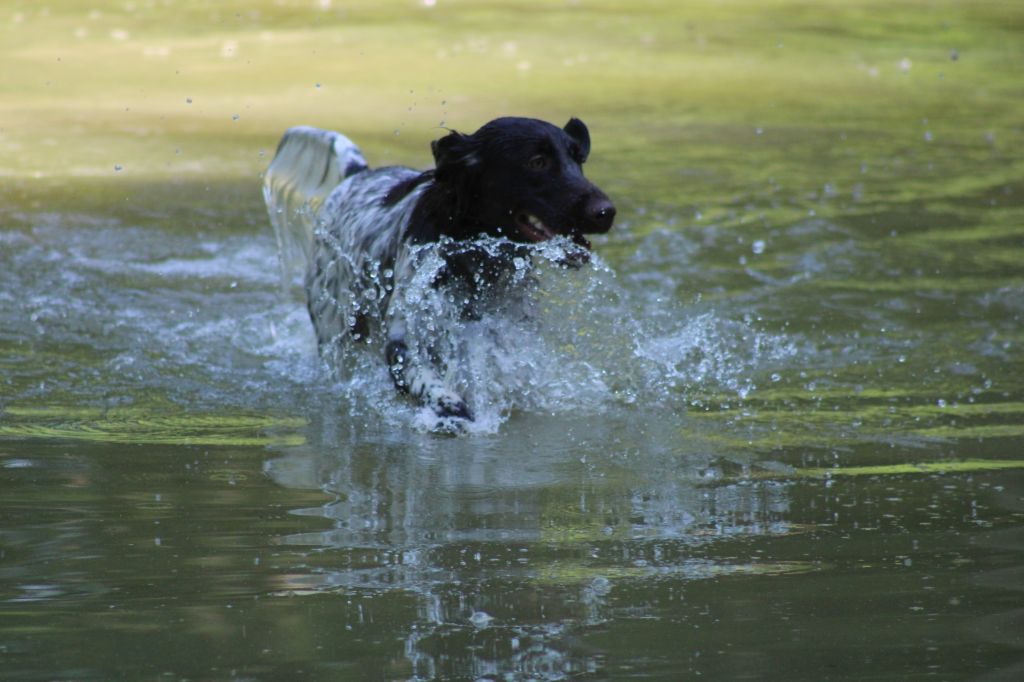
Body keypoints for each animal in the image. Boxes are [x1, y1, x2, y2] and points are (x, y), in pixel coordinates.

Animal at [264, 116, 614, 425]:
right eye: (537, 162)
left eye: (578, 160)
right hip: (336, 330)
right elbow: (432, 385)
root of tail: (355, 175)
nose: (606, 212)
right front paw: (452, 409)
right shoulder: (406, 341)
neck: (472, 256)